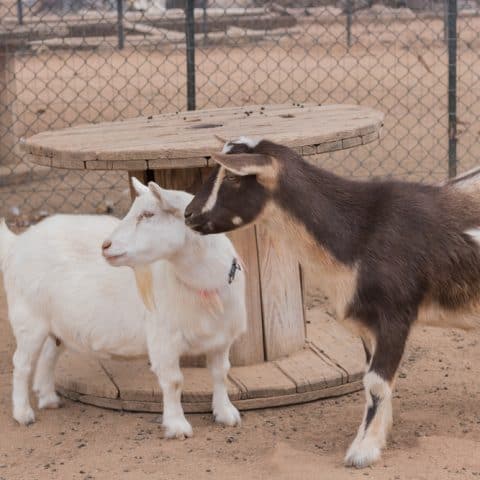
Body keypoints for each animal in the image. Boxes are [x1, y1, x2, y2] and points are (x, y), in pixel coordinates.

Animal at [0, 177, 246, 438]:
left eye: (148, 214)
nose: (106, 246)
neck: (204, 284)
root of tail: (17, 243)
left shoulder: (221, 339)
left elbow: (221, 373)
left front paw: (226, 413)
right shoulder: (164, 340)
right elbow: (173, 381)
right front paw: (177, 426)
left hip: (56, 322)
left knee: (48, 354)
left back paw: (48, 399)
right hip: (28, 319)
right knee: (21, 365)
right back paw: (23, 414)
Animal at [186, 137, 480, 466]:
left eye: (235, 178)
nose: (189, 214)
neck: (360, 231)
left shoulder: (395, 314)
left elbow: (376, 382)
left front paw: (363, 452)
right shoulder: (368, 324)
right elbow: (372, 382)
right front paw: (377, 436)